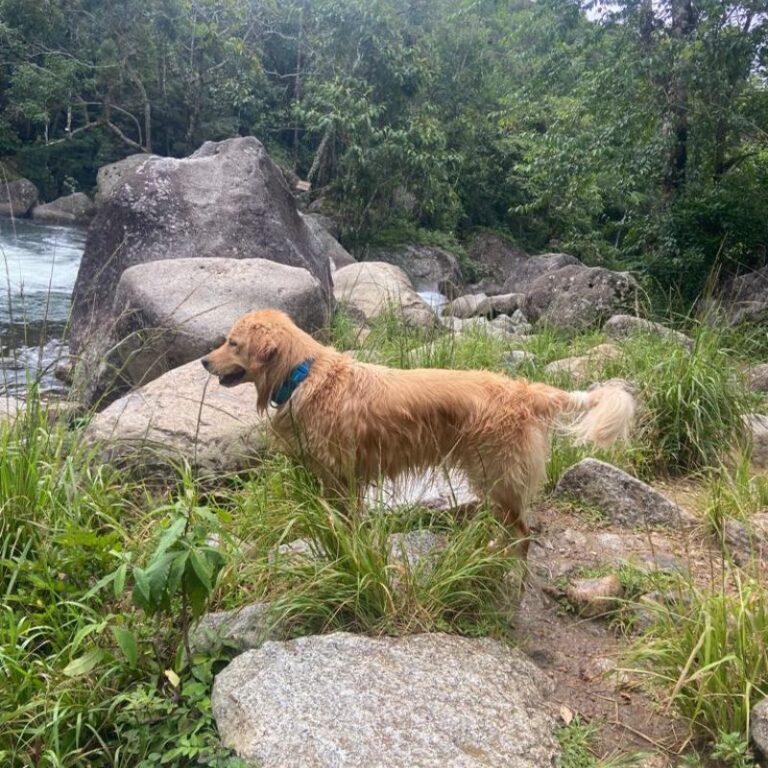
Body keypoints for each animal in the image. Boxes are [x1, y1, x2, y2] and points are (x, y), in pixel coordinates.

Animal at [201, 308, 632, 548]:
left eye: (233, 343)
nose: (204, 361)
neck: (303, 373)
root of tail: (523, 390)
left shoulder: (339, 478)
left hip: (496, 476)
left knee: (522, 535)